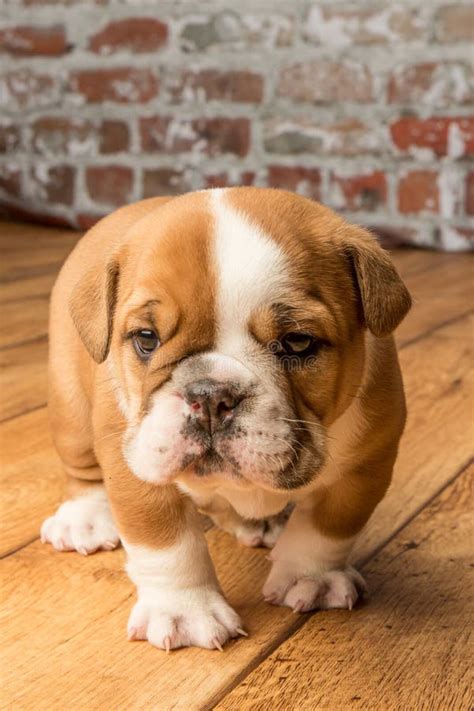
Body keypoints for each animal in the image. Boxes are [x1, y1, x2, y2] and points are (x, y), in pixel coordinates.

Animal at [41, 188, 412, 652]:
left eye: (298, 342)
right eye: (147, 339)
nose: (210, 394)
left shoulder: (364, 466)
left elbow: (328, 527)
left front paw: (313, 580)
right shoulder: (139, 463)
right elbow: (166, 541)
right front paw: (184, 610)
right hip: (71, 406)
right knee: (82, 470)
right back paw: (84, 519)